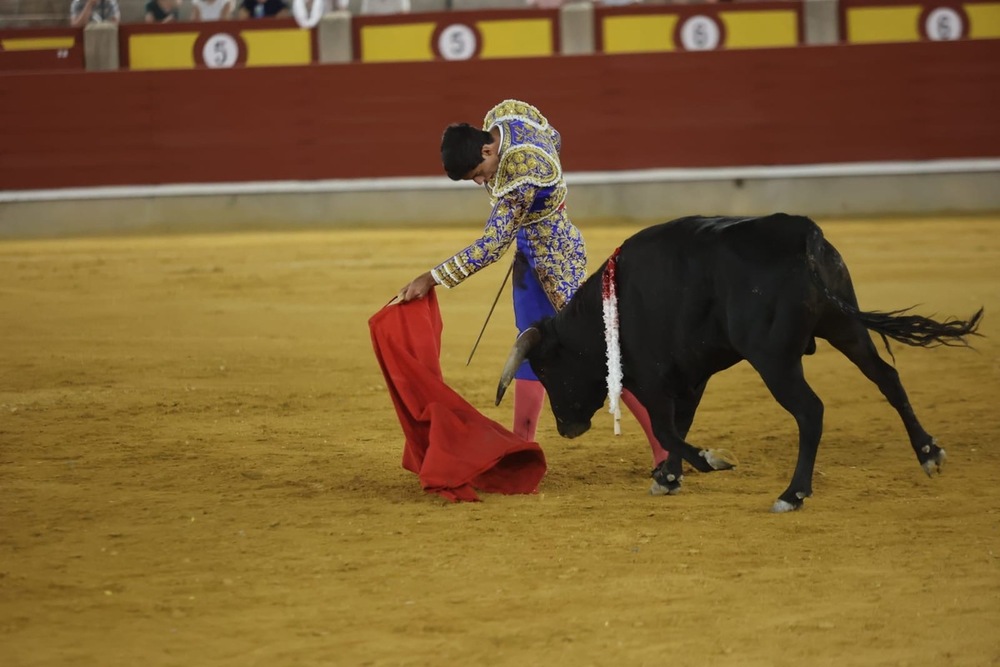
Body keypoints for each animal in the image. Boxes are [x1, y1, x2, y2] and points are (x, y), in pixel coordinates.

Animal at [496, 214, 980, 512]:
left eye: (547, 370)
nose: (566, 429)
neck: (610, 311)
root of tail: (802, 234)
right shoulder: (690, 375)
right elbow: (681, 425)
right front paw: (668, 477)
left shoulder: (654, 380)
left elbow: (668, 429)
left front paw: (710, 461)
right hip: (845, 327)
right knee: (887, 378)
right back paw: (928, 453)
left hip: (775, 360)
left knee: (811, 411)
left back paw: (793, 494)